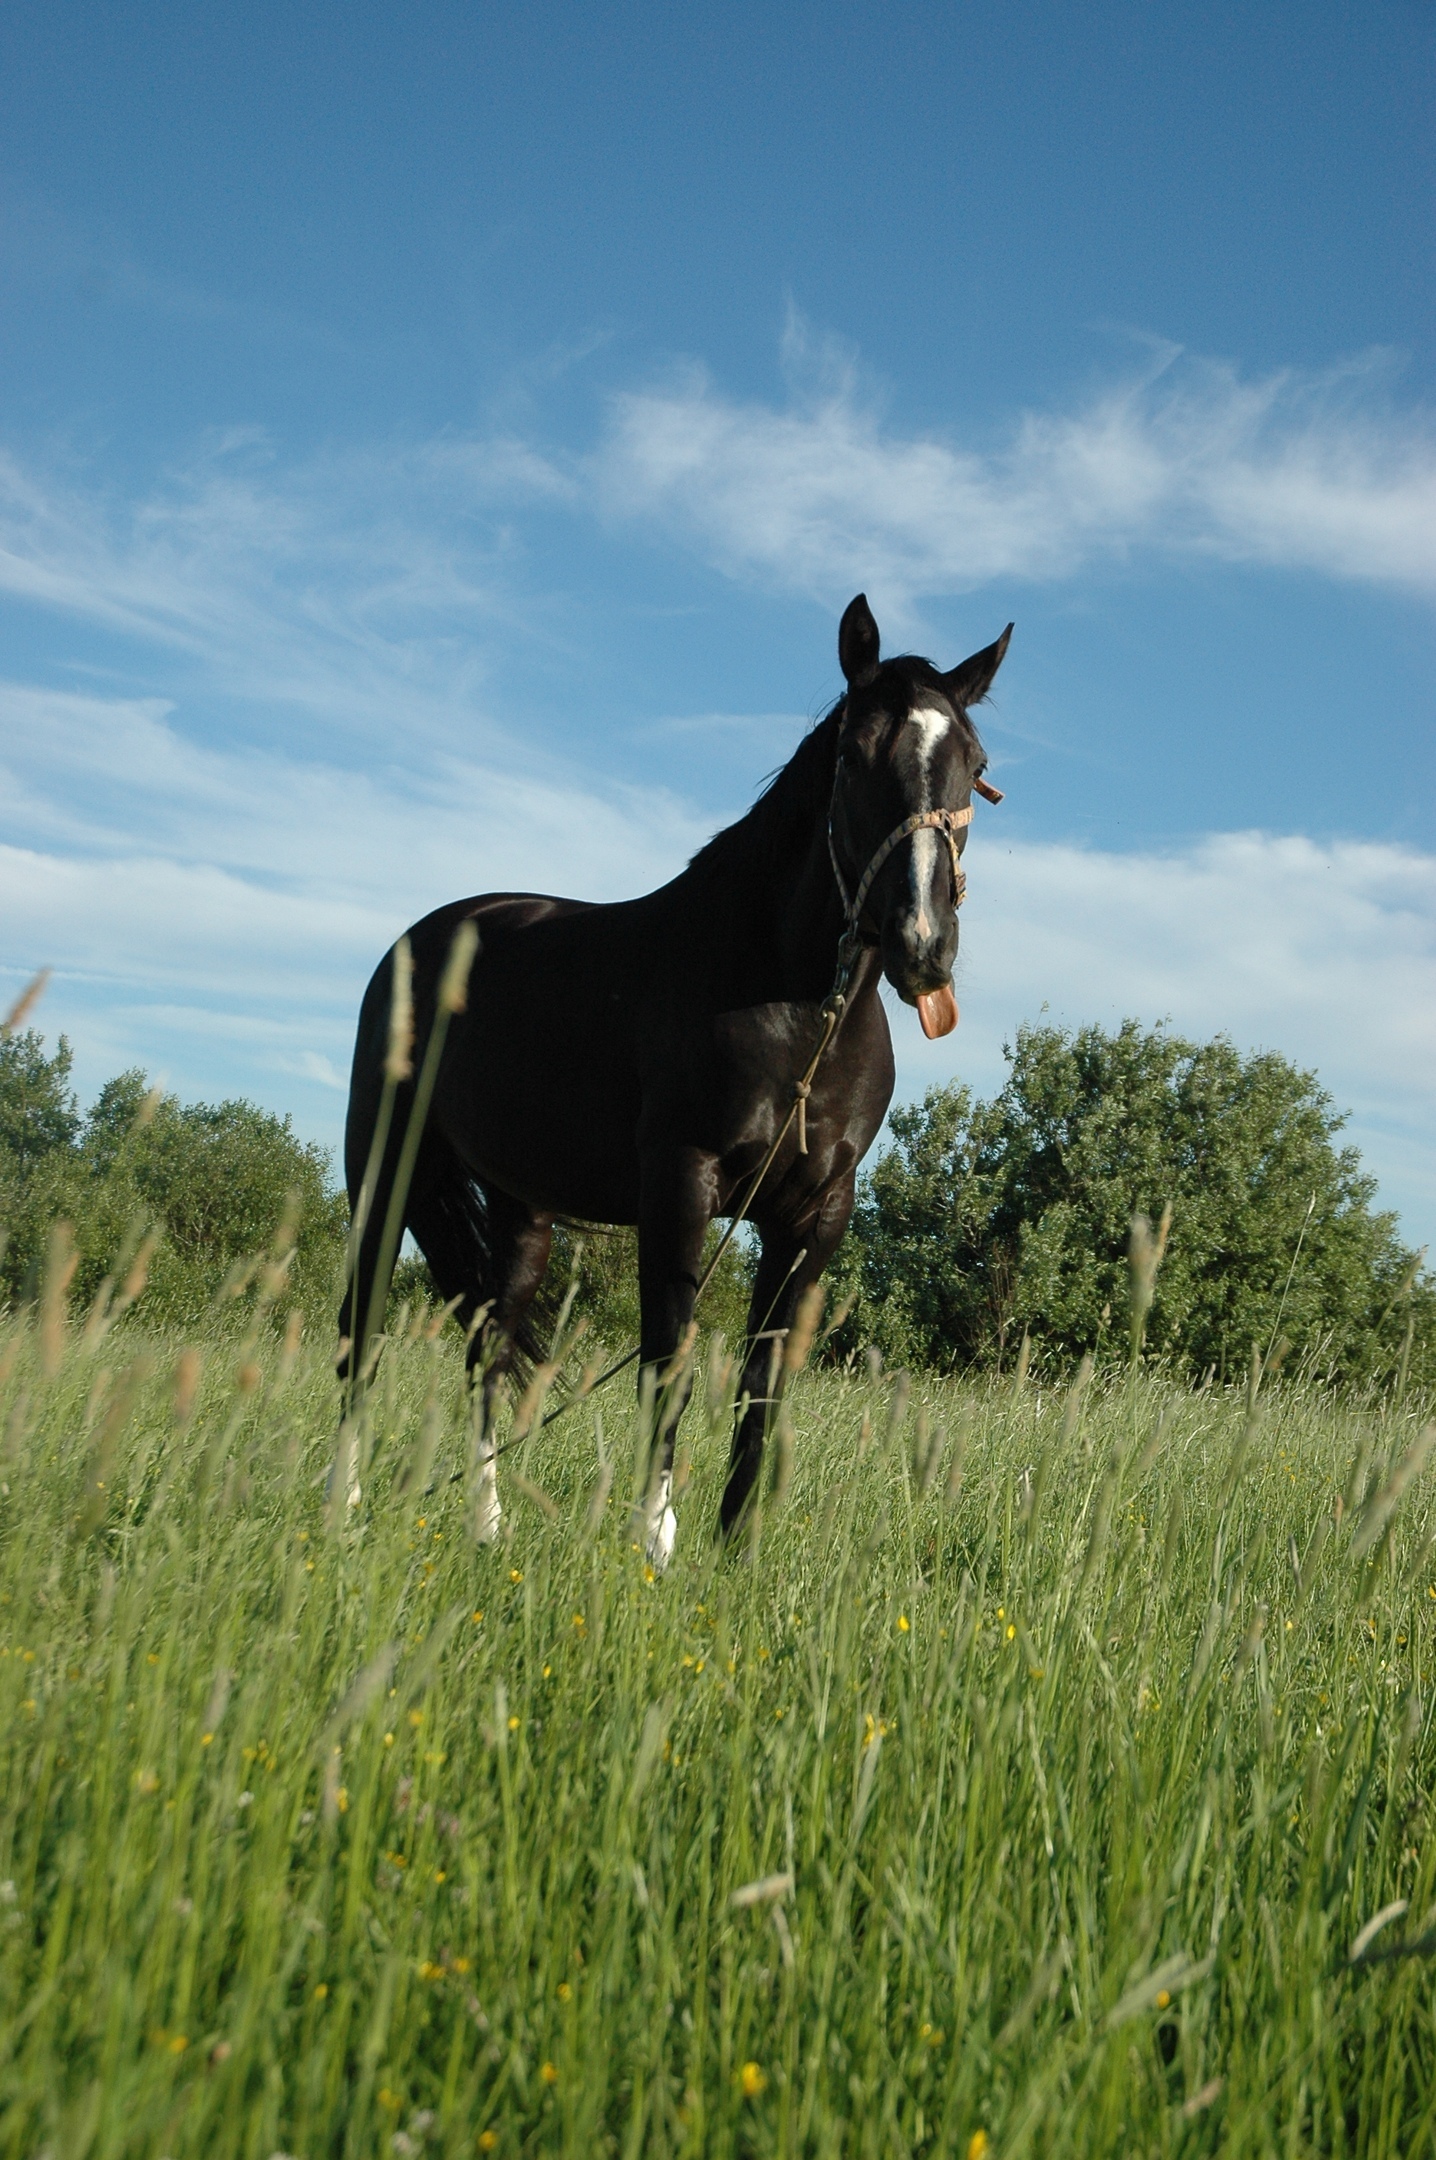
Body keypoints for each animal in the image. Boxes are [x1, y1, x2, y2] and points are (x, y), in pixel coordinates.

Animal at [339, 600, 1006, 1563]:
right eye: (853, 756)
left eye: (976, 765)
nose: (924, 944)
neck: (795, 1006)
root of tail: (419, 941)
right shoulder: (680, 1187)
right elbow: (669, 1366)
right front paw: (654, 1539)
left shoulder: (816, 1215)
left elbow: (764, 1383)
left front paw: (739, 1546)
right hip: (384, 1170)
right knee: (360, 1333)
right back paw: (342, 1507)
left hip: (522, 1209)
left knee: (488, 1350)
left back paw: (486, 1527)